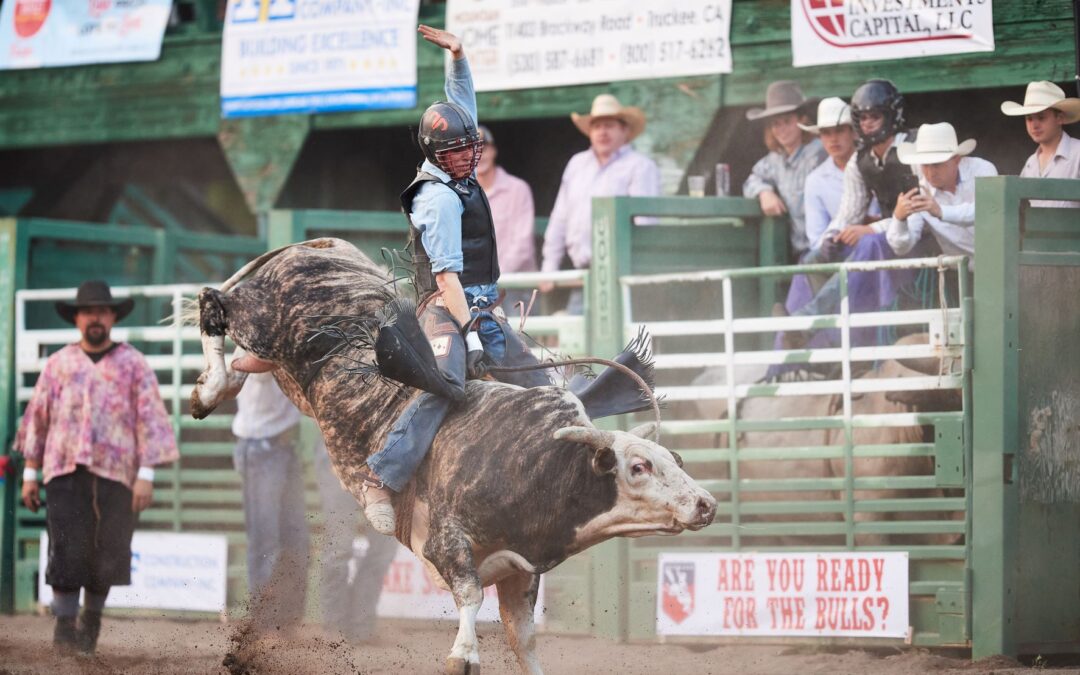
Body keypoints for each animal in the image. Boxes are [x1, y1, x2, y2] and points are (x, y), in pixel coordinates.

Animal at [187, 238, 717, 673]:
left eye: (675, 459)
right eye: (639, 466)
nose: (706, 504)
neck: (537, 461)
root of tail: (320, 246)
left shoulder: (521, 572)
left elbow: (522, 638)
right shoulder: (445, 542)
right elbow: (469, 593)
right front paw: (463, 655)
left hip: (282, 368)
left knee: (243, 356)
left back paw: (216, 384)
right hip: (262, 319)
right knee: (213, 301)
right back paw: (209, 390)